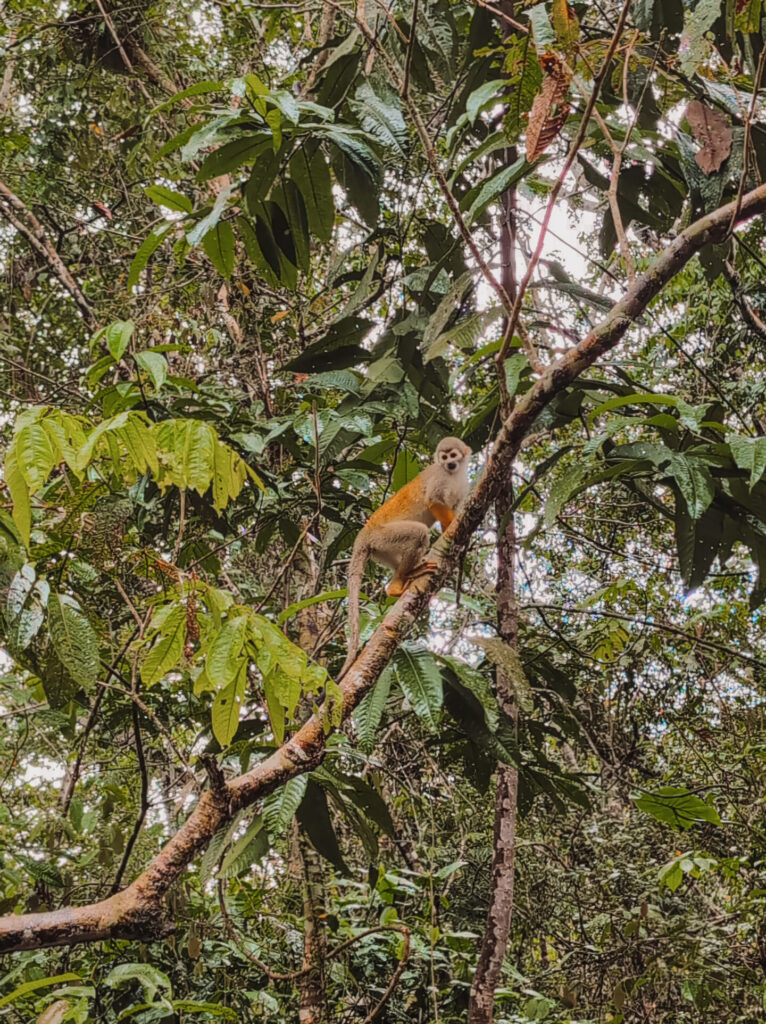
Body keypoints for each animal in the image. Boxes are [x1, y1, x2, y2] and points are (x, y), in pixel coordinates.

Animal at [337, 434, 469, 679]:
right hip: (383, 536)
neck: (453, 475)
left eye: (453, 455)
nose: (449, 463)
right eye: (444, 457)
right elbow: (434, 501)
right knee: (419, 533)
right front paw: (449, 526)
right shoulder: (438, 477)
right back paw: (397, 587)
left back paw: (401, 578)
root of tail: (363, 535)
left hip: (380, 548)